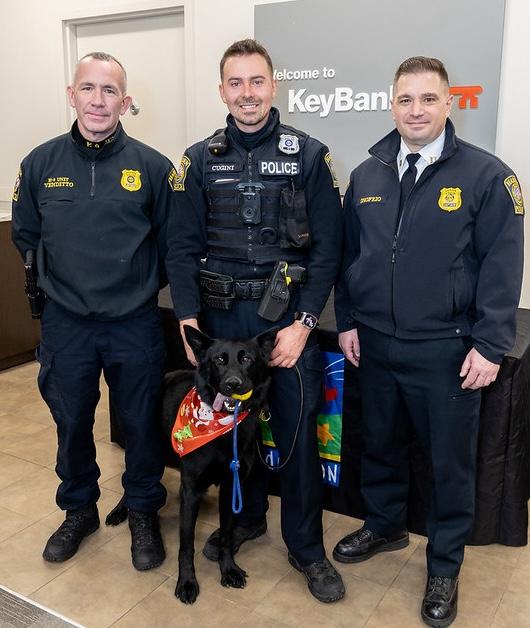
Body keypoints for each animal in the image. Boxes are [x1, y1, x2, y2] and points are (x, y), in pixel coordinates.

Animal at [104, 324, 276, 604]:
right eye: (219, 360)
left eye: (247, 359)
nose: (233, 384)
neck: (222, 427)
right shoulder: (191, 490)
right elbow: (186, 544)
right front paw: (186, 582)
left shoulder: (231, 489)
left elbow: (226, 535)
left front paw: (228, 569)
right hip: (145, 450)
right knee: (131, 480)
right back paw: (120, 511)